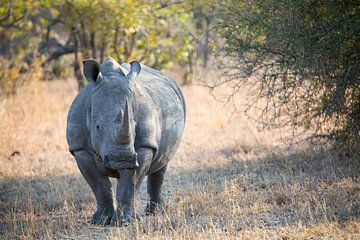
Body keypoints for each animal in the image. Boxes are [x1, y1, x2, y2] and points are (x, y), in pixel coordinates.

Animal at [65, 57, 187, 225]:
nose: (122, 159)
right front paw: (101, 220)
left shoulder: (144, 146)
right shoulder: (79, 148)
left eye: (134, 126)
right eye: (97, 127)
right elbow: (99, 185)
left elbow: (130, 182)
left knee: (162, 162)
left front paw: (124, 222)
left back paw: (155, 212)